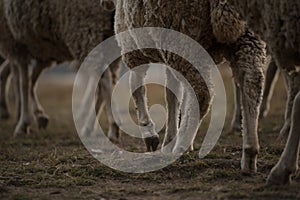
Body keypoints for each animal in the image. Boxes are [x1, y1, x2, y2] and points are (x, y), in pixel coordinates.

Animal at [0, 0, 122, 142]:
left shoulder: (15, 42)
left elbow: (23, 83)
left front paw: (23, 124)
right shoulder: (43, 52)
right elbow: (31, 80)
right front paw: (38, 116)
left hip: (84, 28)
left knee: (104, 77)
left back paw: (113, 127)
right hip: (111, 39)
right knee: (109, 79)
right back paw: (89, 127)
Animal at [113, 0, 268, 173]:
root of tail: (224, 4)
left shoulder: (129, 40)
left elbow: (136, 85)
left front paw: (151, 133)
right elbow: (172, 92)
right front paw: (171, 137)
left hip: (182, 34)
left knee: (202, 93)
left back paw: (180, 146)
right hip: (249, 37)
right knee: (252, 81)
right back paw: (249, 155)